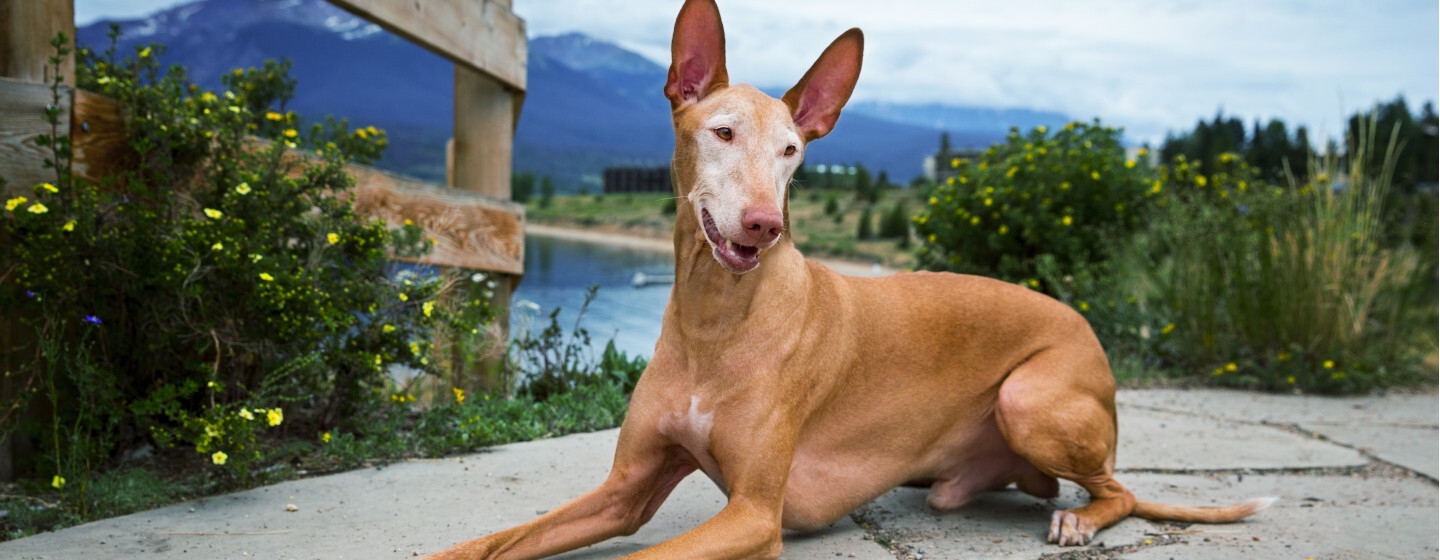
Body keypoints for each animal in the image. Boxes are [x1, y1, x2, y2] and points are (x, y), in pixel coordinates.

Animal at [423, 2, 1272, 555]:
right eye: (721, 131)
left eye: (794, 150)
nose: (763, 224)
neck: (716, 319)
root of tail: (1083, 327)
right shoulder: (625, 488)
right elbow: (493, 543)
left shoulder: (755, 515)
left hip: (1029, 398)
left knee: (1117, 489)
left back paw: (1079, 519)